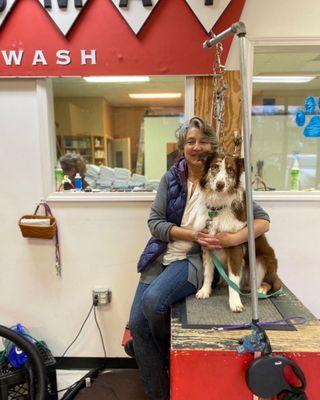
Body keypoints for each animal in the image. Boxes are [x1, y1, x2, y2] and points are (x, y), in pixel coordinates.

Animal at [192, 153, 280, 312]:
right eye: (214, 167)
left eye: (230, 170)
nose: (220, 185)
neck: (217, 208)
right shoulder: (207, 244)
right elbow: (208, 272)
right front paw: (205, 291)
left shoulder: (234, 247)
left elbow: (233, 278)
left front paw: (235, 303)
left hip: (263, 261)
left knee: (268, 283)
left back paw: (260, 290)